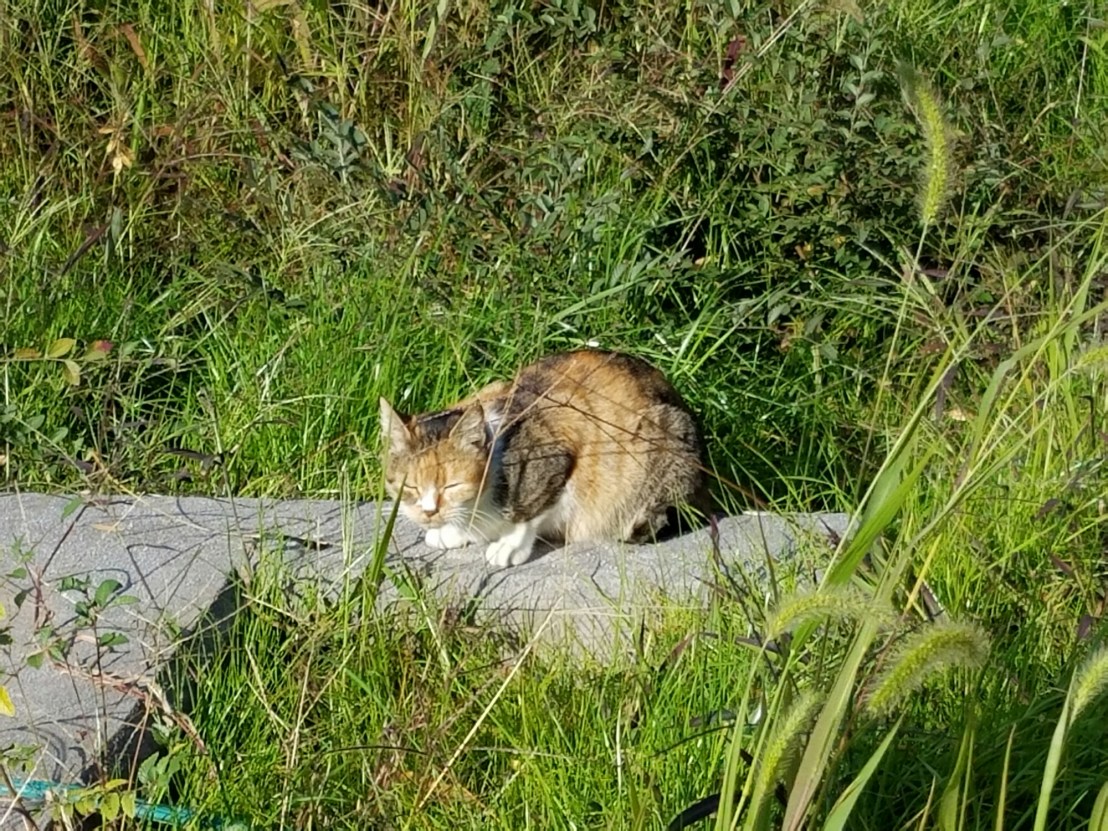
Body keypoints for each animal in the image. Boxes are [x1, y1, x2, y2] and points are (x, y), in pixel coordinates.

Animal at [378, 349, 710, 568]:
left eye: (452, 486)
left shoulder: (560, 450)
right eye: (409, 487)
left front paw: (509, 546)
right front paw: (452, 532)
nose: (428, 512)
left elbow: (529, 513)